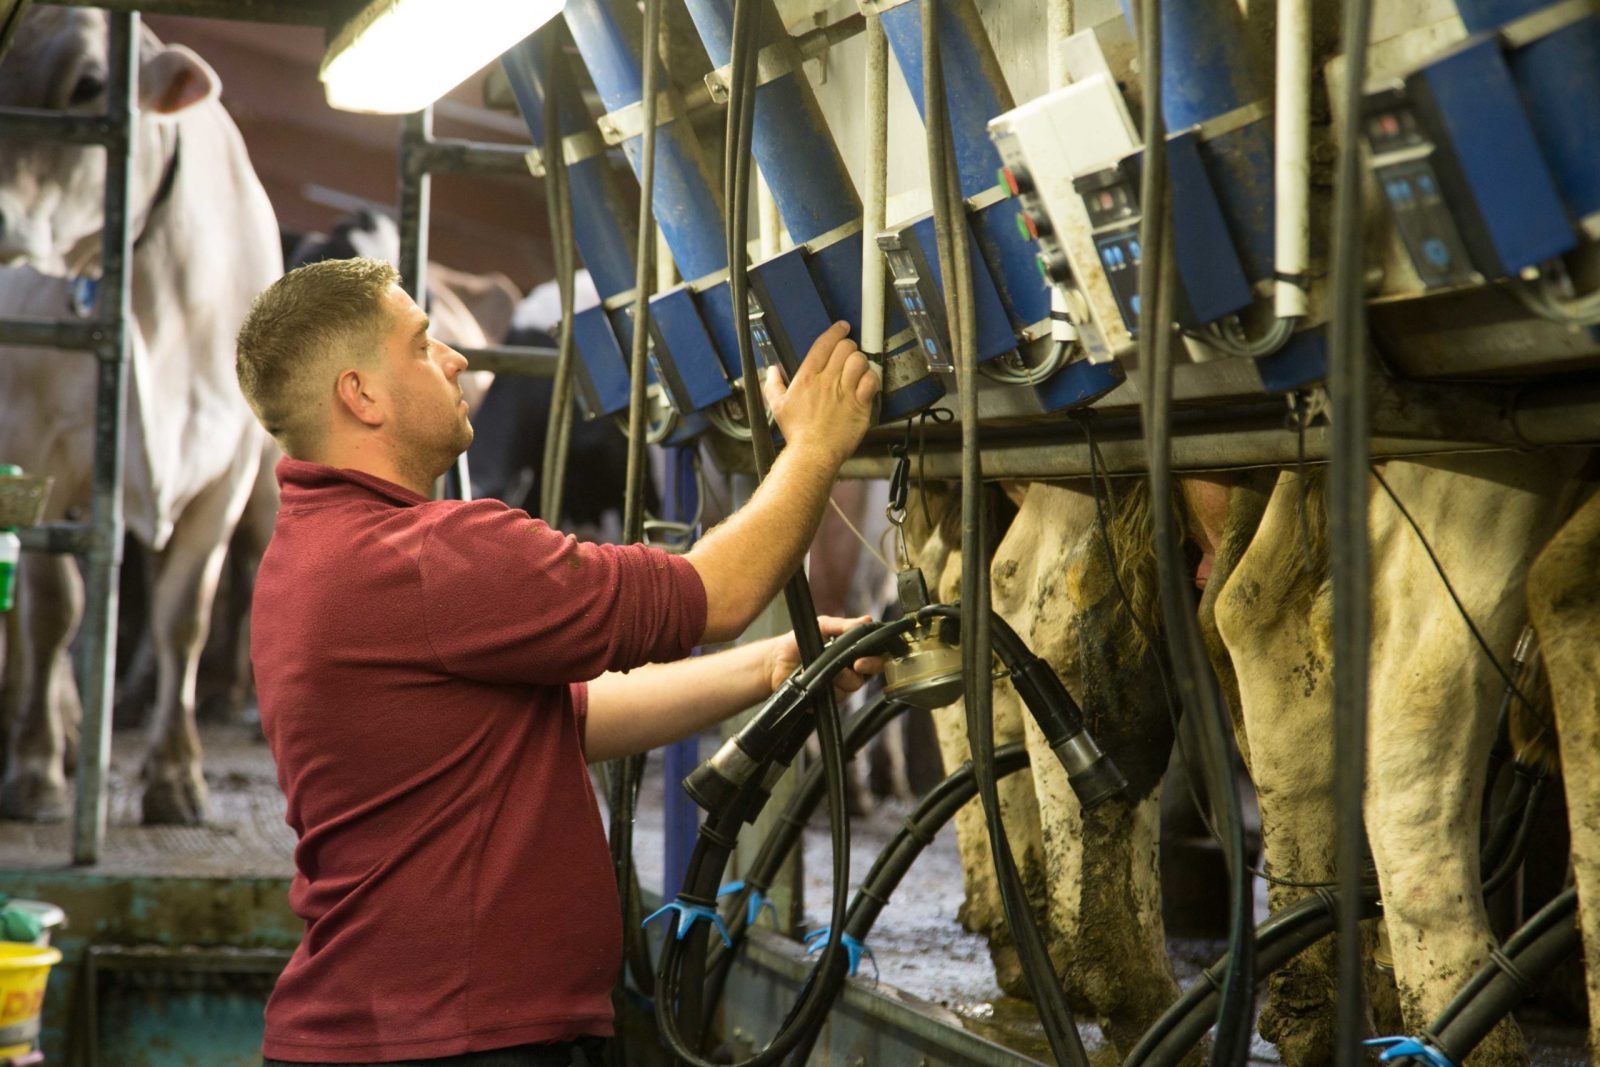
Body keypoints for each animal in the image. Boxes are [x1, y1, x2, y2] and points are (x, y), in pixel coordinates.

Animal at [0, 8, 278, 825]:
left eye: (90, 83)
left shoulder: (229, 468)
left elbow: (184, 614)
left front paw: (177, 776)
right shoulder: (40, 453)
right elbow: (54, 607)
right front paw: (36, 770)